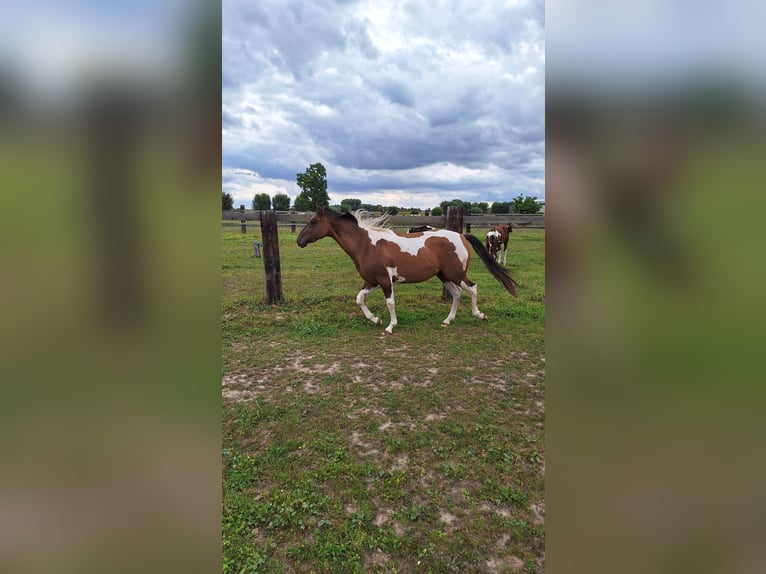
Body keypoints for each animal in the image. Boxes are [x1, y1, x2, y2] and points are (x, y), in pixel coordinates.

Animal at [297, 207, 518, 334]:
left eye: (313, 221)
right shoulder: (371, 281)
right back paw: (447, 321)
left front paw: (390, 326)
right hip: (444, 276)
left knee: (472, 289)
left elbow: (390, 302)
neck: (366, 245)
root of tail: (462, 236)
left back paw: (479, 315)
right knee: (456, 294)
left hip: (457, 274)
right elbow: (359, 300)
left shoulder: (384, 280)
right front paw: (376, 320)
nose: (299, 241)